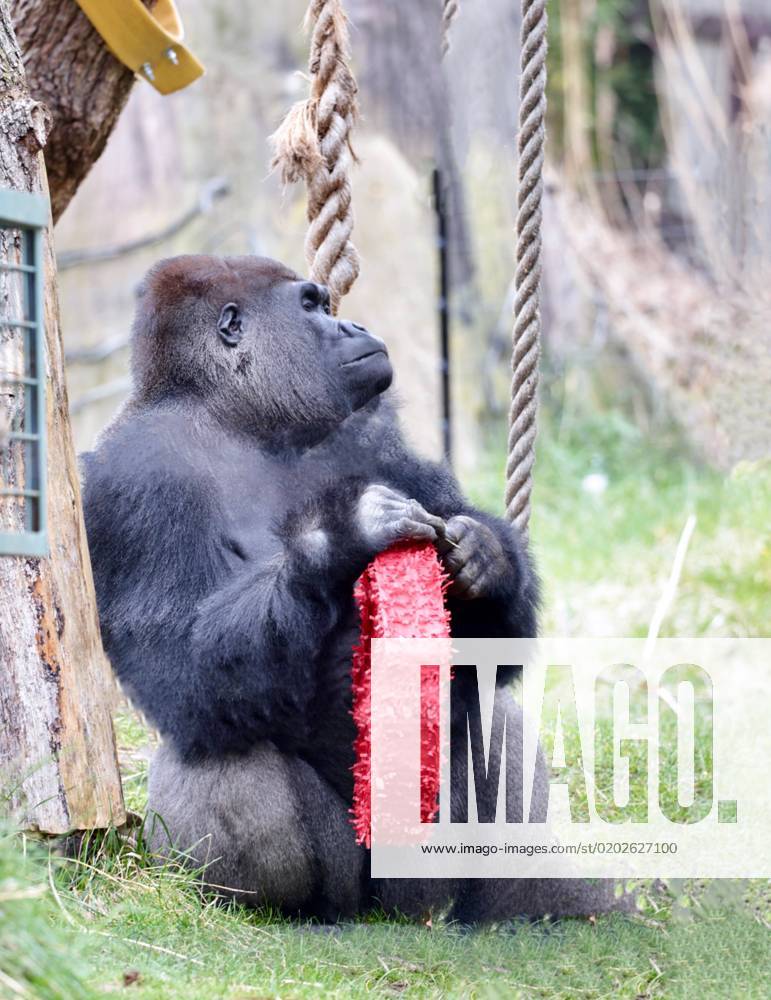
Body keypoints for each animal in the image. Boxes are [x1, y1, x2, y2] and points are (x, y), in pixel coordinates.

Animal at [81, 256, 632, 920]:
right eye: (311, 307)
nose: (354, 325)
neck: (235, 414)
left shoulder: (377, 429)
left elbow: (490, 652)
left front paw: (489, 560)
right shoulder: (133, 476)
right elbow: (183, 668)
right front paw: (343, 534)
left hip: (412, 871)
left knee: (486, 714)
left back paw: (508, 903)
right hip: (347, 879)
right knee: (222, 743)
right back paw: (288, 911)